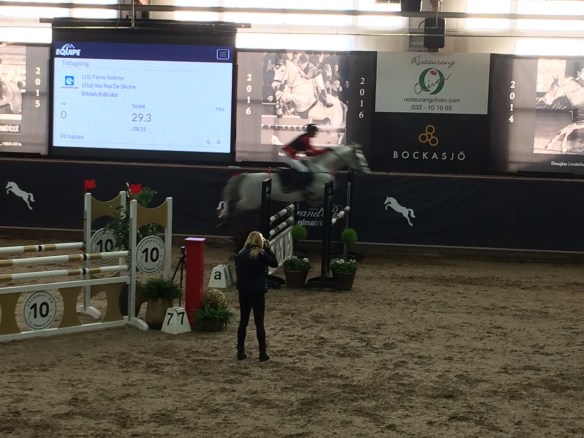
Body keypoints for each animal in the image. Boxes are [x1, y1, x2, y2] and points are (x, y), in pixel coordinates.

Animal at [217, 143, 370, 221]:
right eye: (358, 158)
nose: (367, 172)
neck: (322, 168)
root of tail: (246, 176)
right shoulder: (319, 189)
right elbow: (320, 197)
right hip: (251, 202)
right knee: (235, 206)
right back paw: (224, 217)